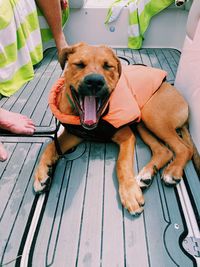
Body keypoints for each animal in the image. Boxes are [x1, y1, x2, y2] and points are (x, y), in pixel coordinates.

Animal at [33, 43, 195, 217]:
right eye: (79, 64)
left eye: (107, 66)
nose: (95, 82)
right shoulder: (75, 134)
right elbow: (50, 146)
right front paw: (41, 174)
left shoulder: (127, 137)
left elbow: (121, 164)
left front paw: (129, 193)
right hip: (142, 124)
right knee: (164, 151)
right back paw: (146, 175)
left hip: (152, 116)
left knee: (184, 149)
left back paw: (173, 171)